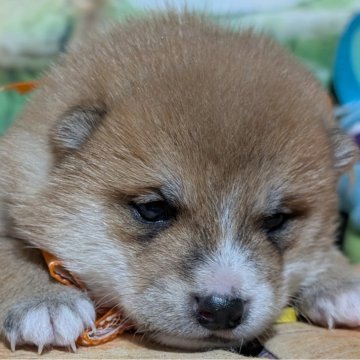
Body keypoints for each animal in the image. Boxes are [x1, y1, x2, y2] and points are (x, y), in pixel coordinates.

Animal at [0, 11, 360, 354]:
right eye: (152, 209)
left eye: (276, 219)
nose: (222, 309)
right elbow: (12, 251)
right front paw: (44, 301)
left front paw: (339, 279)